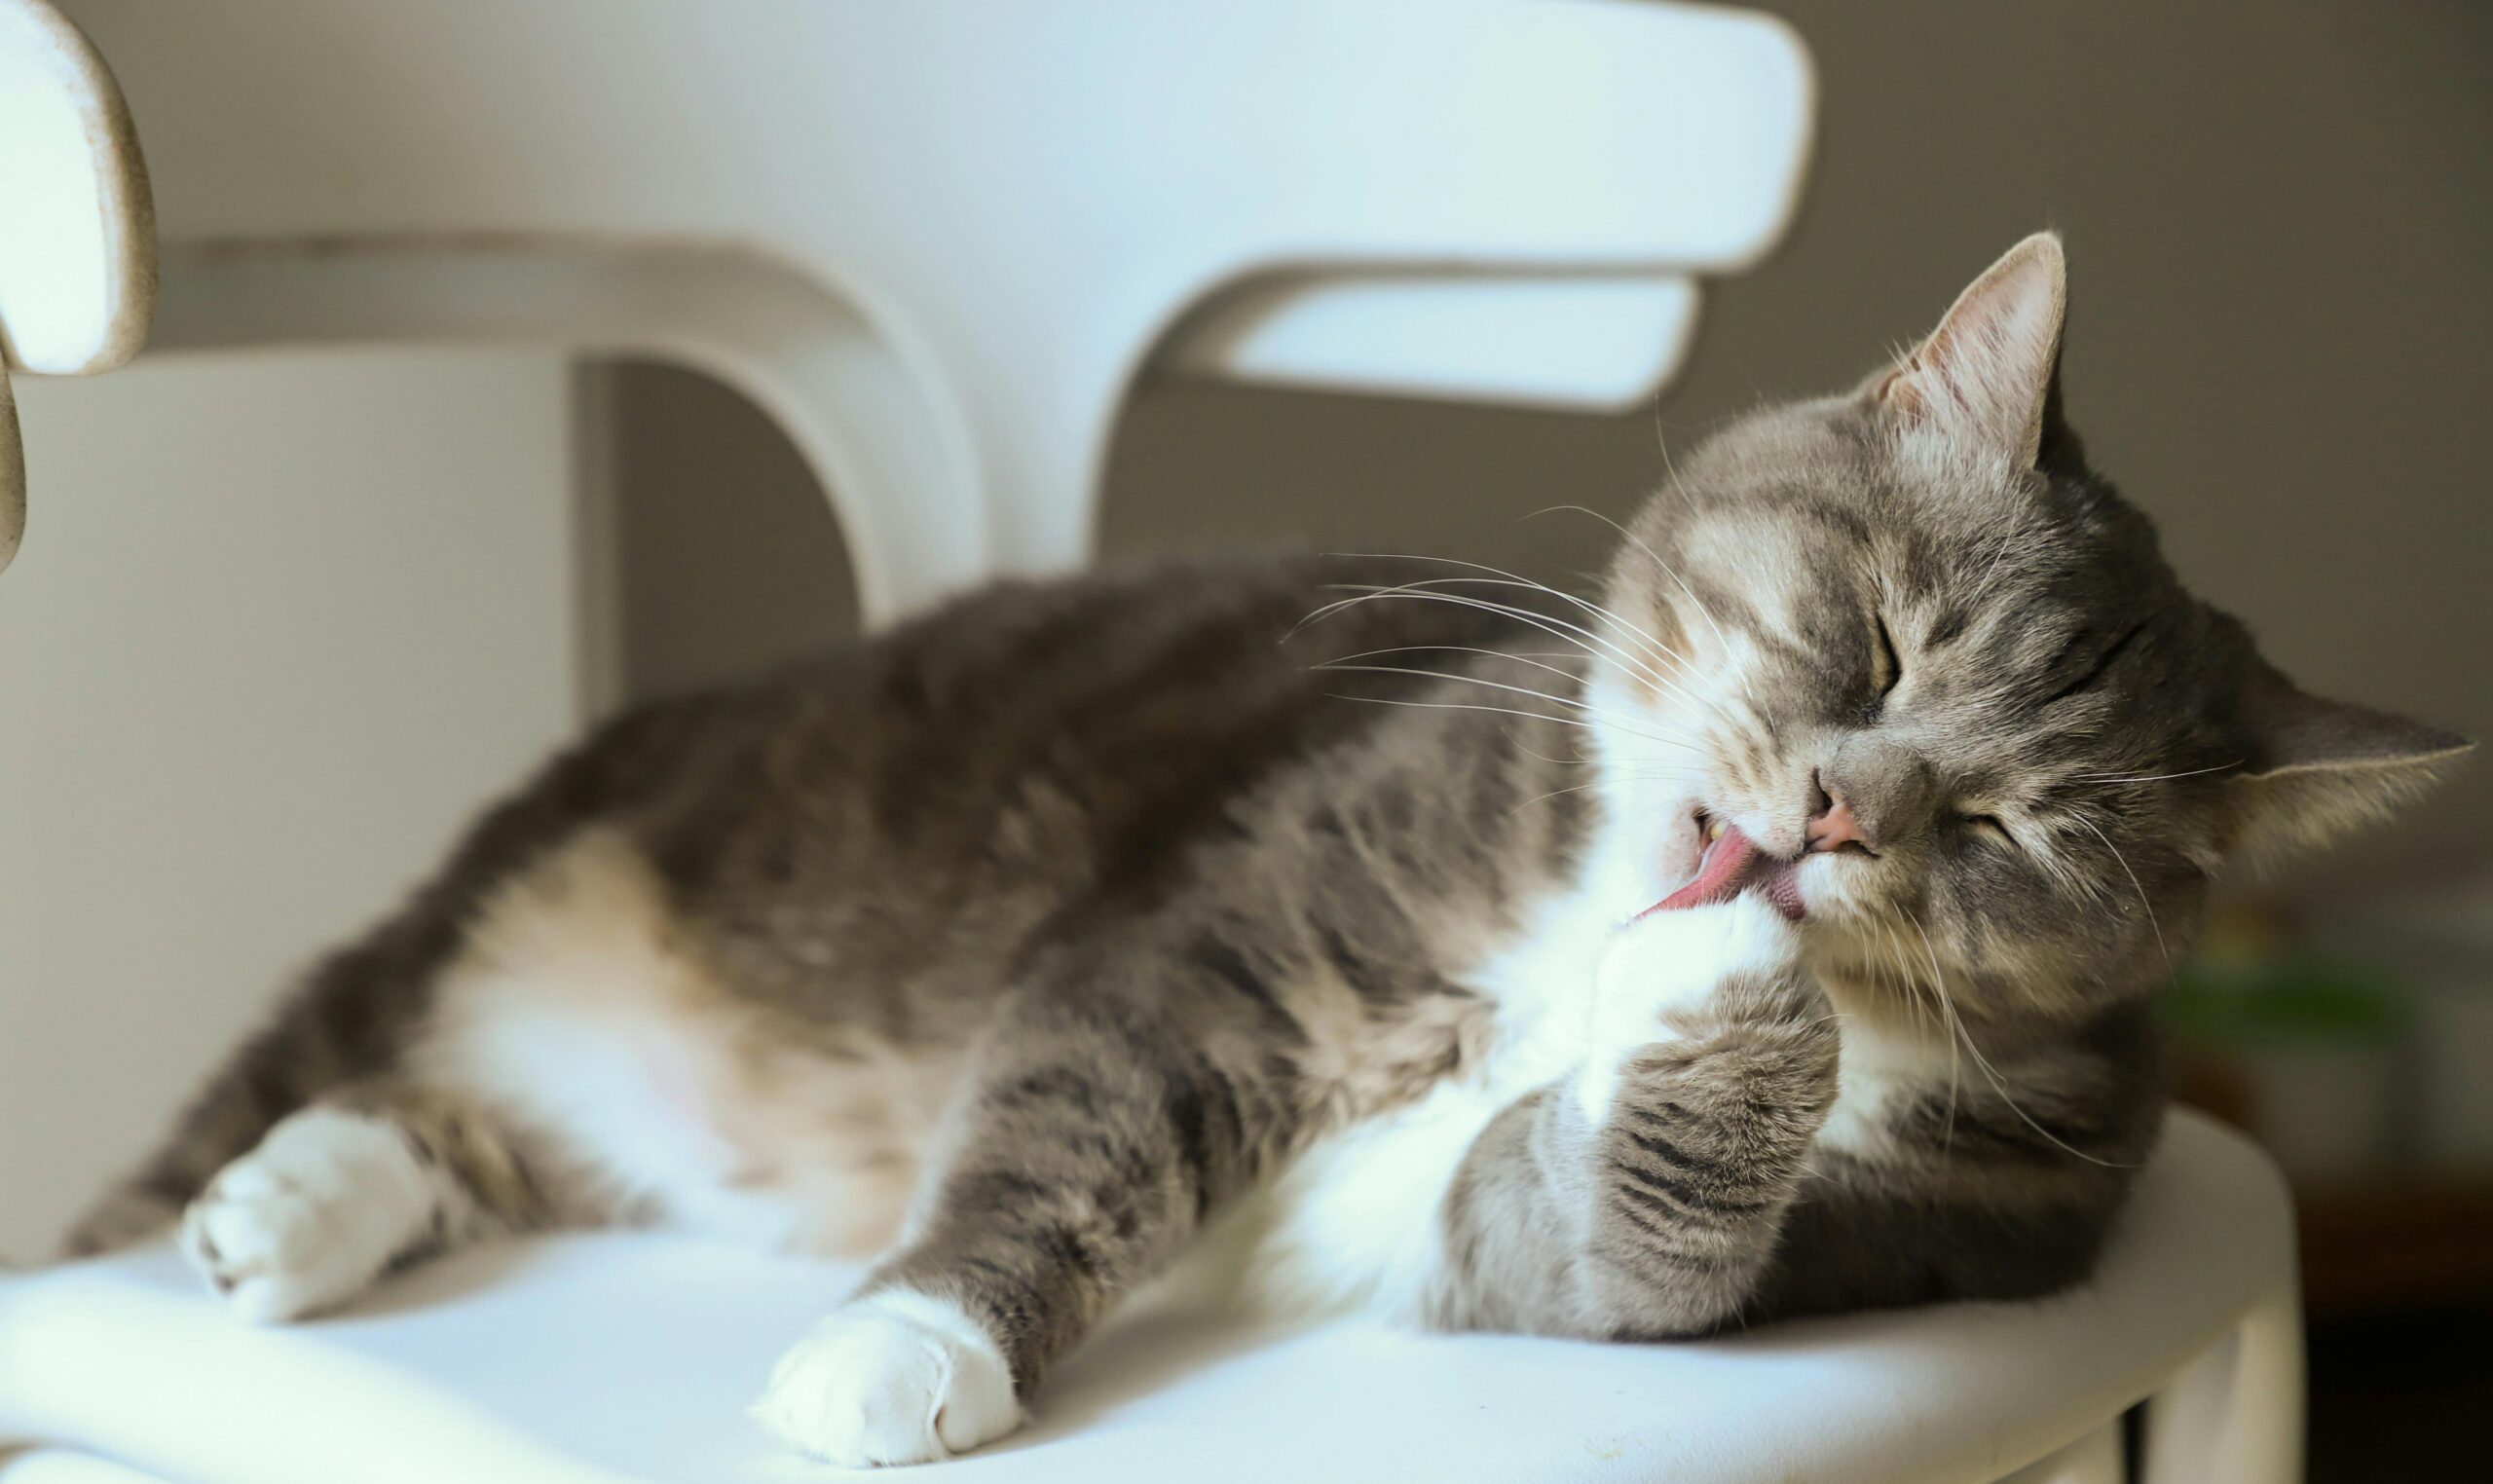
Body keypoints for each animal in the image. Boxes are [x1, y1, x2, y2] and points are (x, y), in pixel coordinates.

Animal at [62, 238, 2473, 1466]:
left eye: (2002, 831)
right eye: (1875, 644)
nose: (1824, 823)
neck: (1574, 937)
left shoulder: (1834, 1229)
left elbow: (1618, 1237)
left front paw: (1718, 1016)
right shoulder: (1238, 921)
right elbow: (1077, 1123)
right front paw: (900, 1356)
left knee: (454, 1123)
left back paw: (290, 1210)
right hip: (501, 899)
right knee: (300, 1083)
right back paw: (232, 1203)